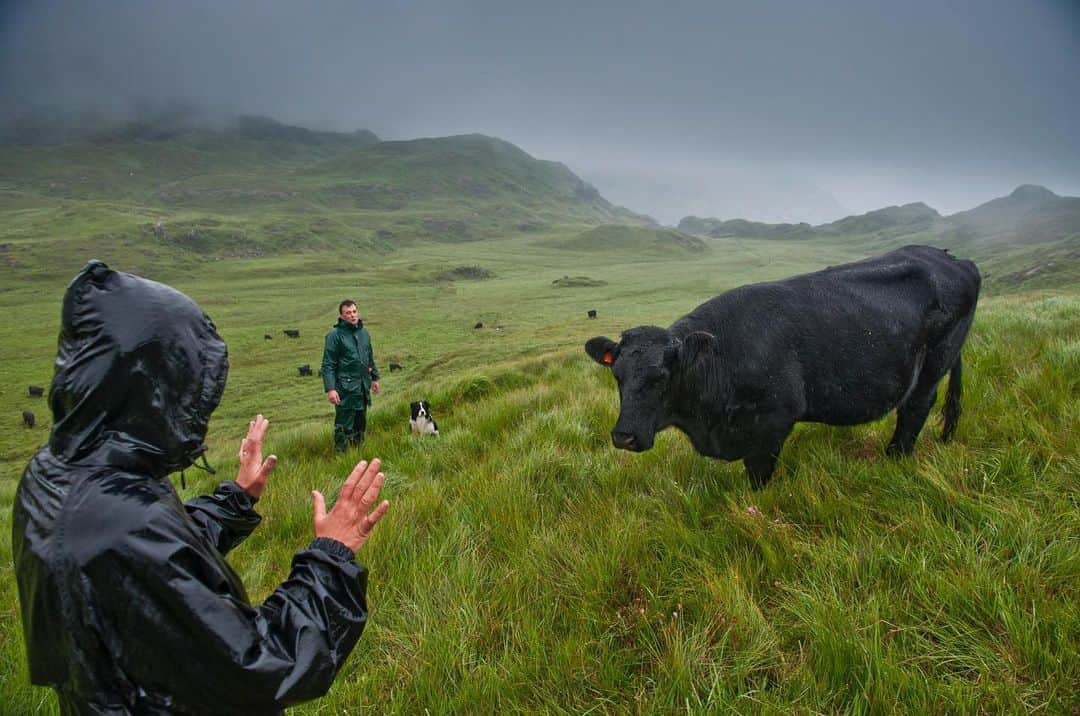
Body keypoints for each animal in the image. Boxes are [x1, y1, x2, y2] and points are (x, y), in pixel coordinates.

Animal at [587, 244, 984, 490]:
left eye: (661, 378)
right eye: (617, 376)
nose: (623, 436)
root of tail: (956, 259)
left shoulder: (774, 423)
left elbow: (758, 479)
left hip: (934, 364)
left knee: (916, 409)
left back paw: (894, 459)